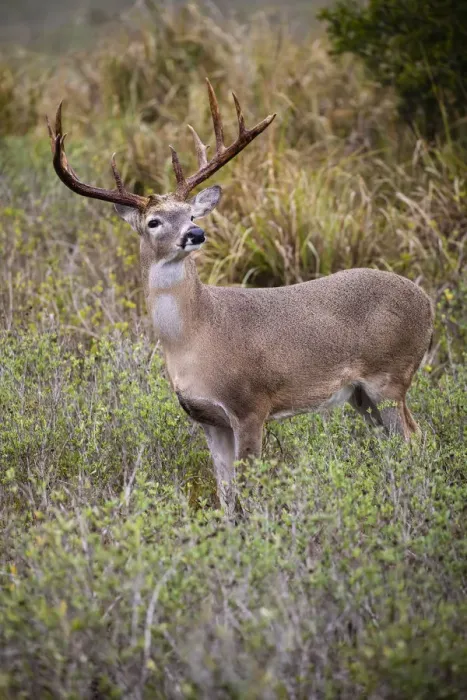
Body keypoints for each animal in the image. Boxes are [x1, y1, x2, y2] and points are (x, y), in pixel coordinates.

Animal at [47, 79, 434, 518]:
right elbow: (226, 493)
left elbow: (251, 488)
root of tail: (427, 303)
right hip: (360, 395)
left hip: (390, 377)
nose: (195, 234)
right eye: (154, 221)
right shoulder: (207, 418)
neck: (197, 336)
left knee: (414, 439)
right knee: (401, 443)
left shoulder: (251, 403)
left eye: (191, 215)